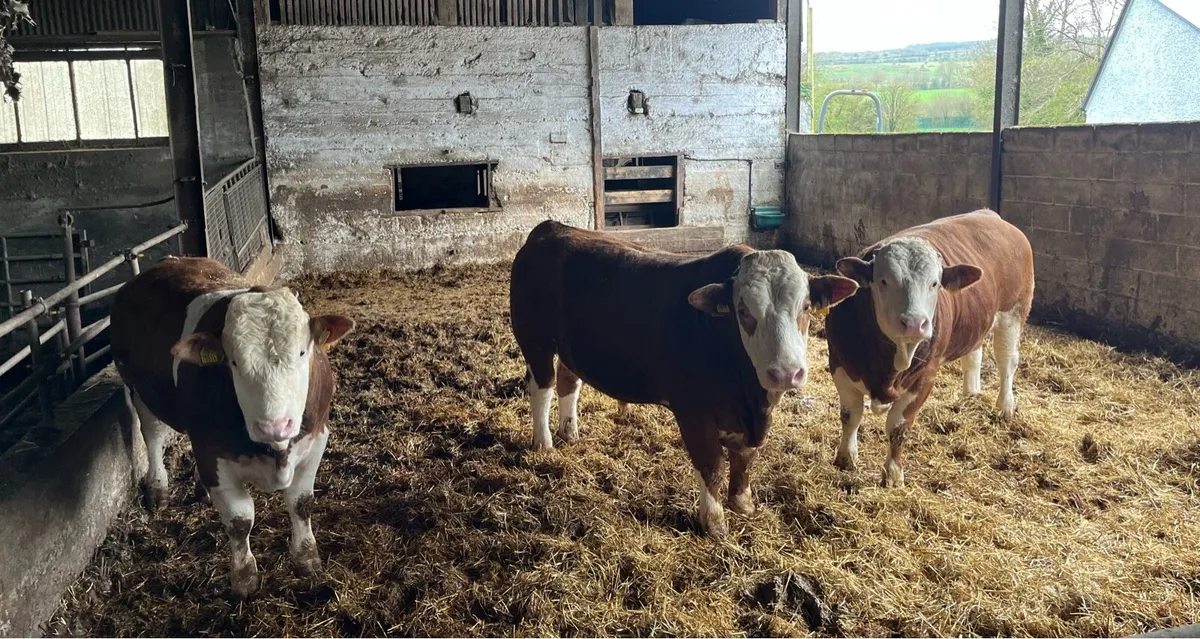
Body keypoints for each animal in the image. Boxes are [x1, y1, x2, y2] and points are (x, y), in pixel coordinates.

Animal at [109, 257, 355, 597]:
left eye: (302, 352)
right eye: (234, 362)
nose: (274, 425)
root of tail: (165, 262)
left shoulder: (317, 437)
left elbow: (301, 503)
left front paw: (307, 560)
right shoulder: (212, 451)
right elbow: (239, 520)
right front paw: (244, 579)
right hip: (140, 389)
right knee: (153, 433)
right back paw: (157, 488)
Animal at [509, 221, 858, 538]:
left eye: (806, 306)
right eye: (743, 310)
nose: (786, 373)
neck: (749, 397)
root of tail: (551, 228)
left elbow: (746, 458)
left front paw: (743, 504)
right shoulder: (693, 411)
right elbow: (712, 466)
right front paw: (714, 523)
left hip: (571, 346)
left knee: (569, 381)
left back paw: (569, 432)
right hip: (535, 339)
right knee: (542, 388)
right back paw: (544, 443)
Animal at [825, 210, 1034, 488]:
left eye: (935, 283)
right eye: (883, 281)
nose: (915, 322)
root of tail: (991, 215)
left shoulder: (925, 378)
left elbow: (899, 427)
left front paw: (893, 474)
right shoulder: (838, 362)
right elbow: (851, 414)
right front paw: (846, 459)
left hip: (1014, 311)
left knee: (1006, 360)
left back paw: (1005, 407)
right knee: (974, 354)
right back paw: (971, 393)